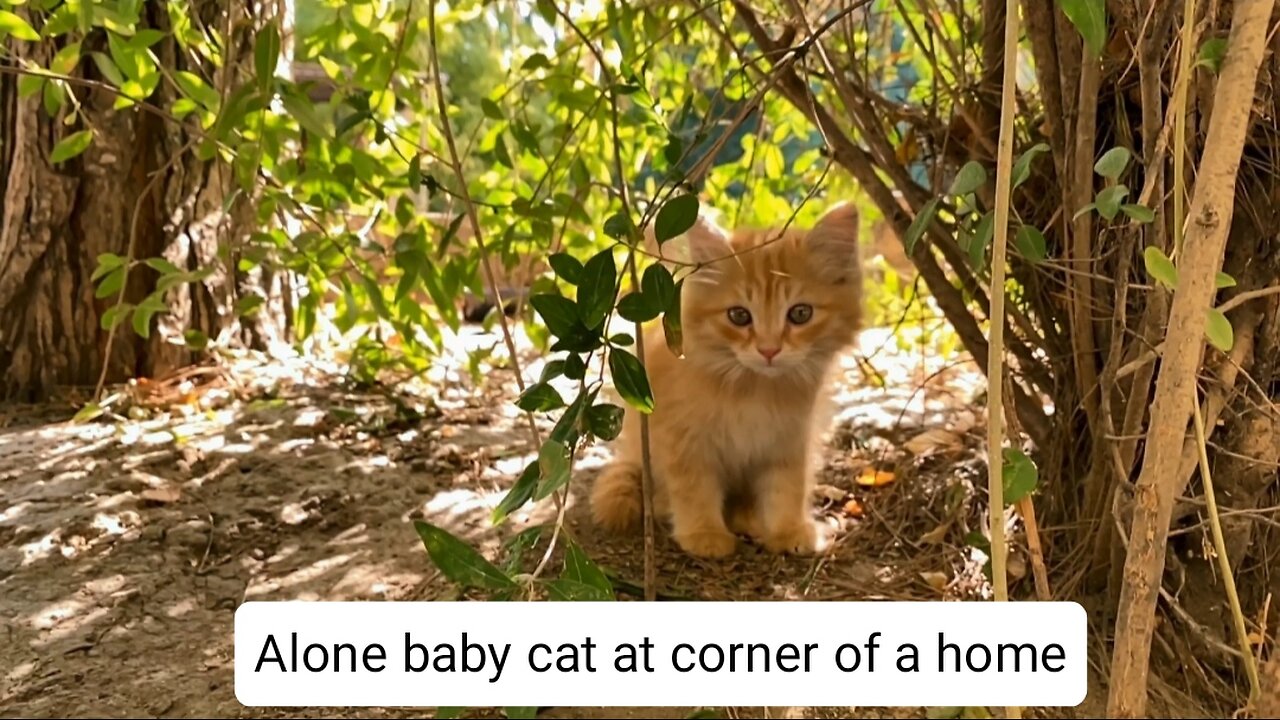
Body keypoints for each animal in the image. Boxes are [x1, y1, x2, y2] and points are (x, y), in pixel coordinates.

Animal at [588, 202, 860, 556]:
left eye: (800, 314)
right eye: (739, 316)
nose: (769, 350)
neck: (754, 390)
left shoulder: (790, 439)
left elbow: (788, 486)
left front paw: (787, 529)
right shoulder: (682, 438)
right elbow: (693, 488)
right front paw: (704, 533)